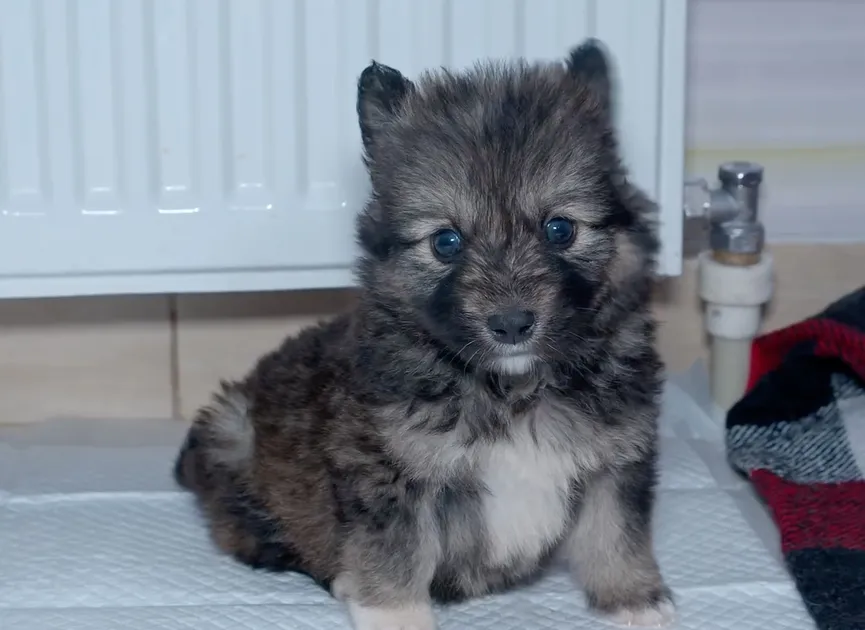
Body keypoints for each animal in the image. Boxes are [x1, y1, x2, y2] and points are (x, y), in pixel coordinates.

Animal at [176, 40, 672, 630]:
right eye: (446, 242)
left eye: (560, 229)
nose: (511, 324)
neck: (512, 389)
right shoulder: (390, 476)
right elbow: (397, 556)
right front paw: (395, 616)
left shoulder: (616, 461)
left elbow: (615, 533)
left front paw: (633, 599)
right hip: (233, 436)